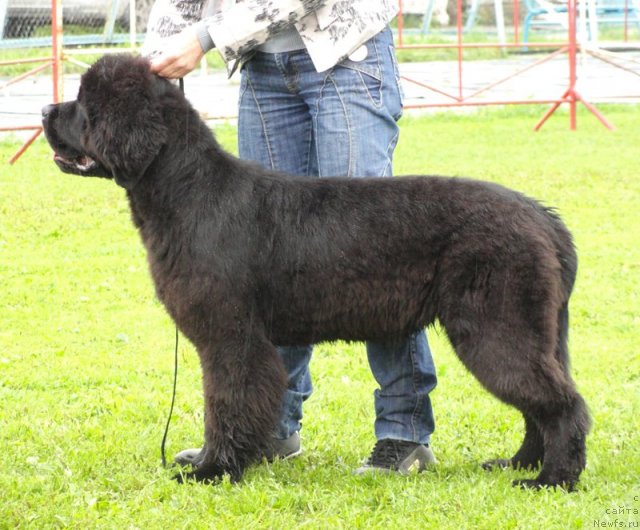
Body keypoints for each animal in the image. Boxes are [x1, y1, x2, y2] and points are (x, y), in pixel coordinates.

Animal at [40, 55, 592, 488]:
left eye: (85, 103)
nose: (45, 110)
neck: (187, 190)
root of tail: (542, 216)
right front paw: (227, 459)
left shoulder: (230, 337)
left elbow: (225, 402)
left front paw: (212, 470)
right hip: (537, 333)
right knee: (542, 402)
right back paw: (517, 464)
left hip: (497, 328)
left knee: (562, 404)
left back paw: (551, 480)